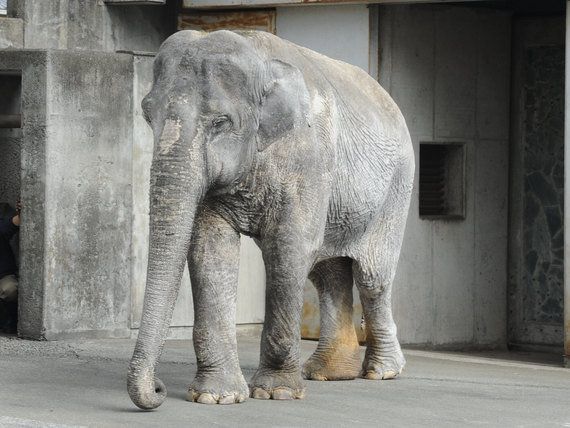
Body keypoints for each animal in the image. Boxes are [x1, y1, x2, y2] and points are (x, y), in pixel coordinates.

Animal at [127, 28, 412, 410]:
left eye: (220, 123)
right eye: (147, 116)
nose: (156, 389)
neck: (258, 58)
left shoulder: (307, 156)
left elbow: (288, 248)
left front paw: (276, 392)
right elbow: (209, 249)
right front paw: (216, 397)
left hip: (396, 189)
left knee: (372, 277)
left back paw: (381, 372)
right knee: (327, 272)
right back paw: (327, 373)